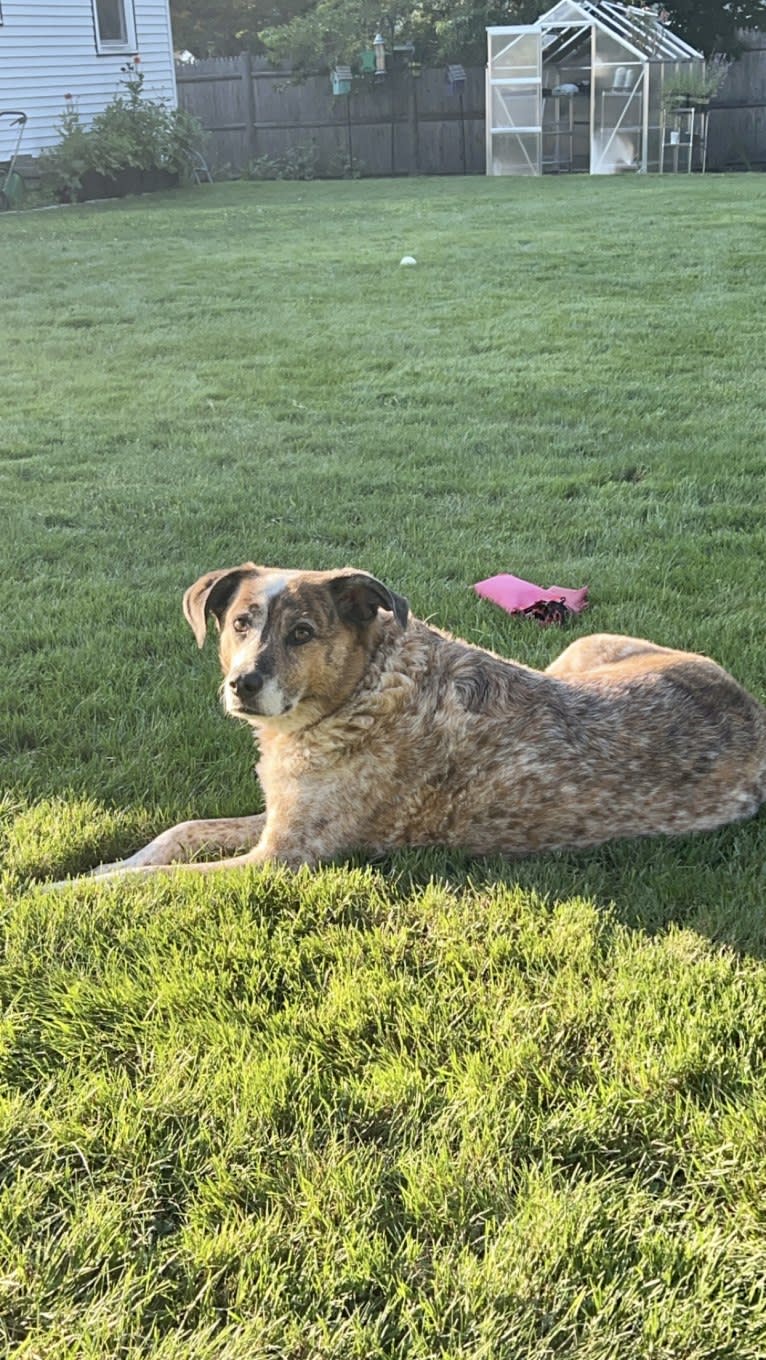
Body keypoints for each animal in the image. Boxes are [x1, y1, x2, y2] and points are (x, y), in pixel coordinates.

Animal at [73, 560, 766, 881]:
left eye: (302, 633)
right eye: (240, 623)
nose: (242, 683)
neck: (363, 691)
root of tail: (750, 709)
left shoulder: (281, 858)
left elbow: (151, 886)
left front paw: (68, 891)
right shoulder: (277, 817)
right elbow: (178, 834)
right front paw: (108, 863)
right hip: (582, 648)